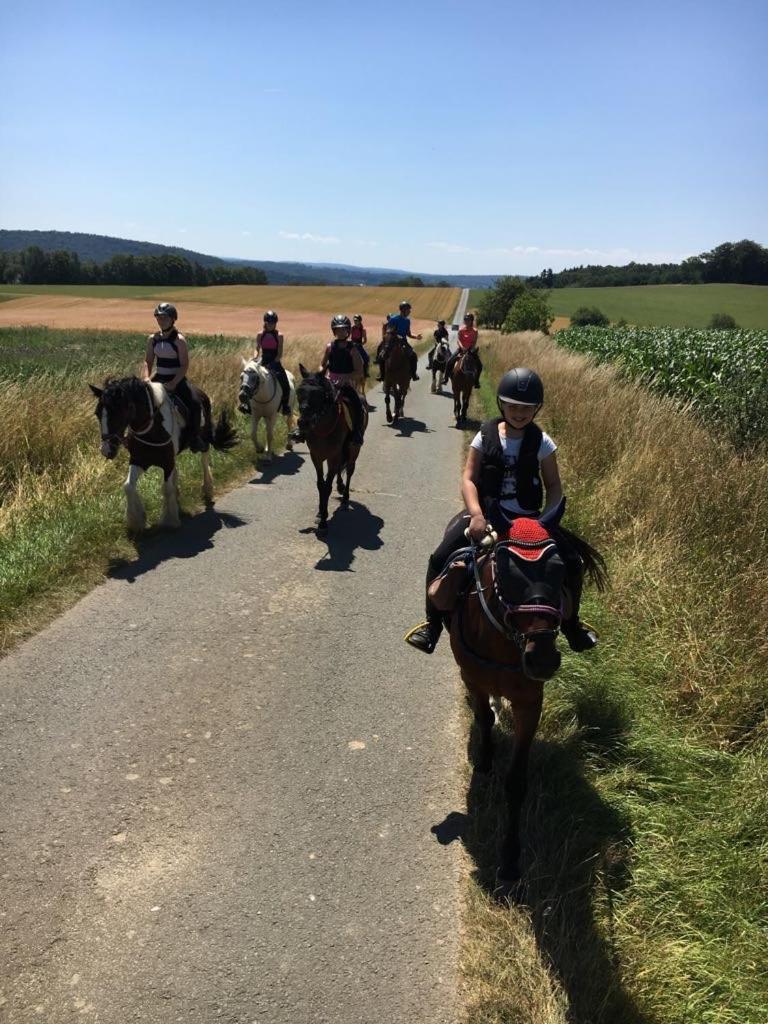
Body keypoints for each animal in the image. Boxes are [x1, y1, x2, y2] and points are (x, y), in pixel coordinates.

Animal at [89, 378, 237, 536]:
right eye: (97, 413)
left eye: (118, 412)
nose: (106, 450)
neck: (152, 428)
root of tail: (201, 392)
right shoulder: (139, 461)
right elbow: (128, 486)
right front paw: (136, 521)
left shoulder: (167, 463)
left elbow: (166, 488)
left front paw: (169, 521)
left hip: (203, 438)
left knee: (204, 458)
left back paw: (208, 490)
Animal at [296, 364, 368, 536]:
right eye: (298, 392)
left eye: (318, 394)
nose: (303, 423)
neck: (323, 426)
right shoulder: (316, 456)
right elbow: (320, 485)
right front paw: (320, 513)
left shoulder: (333, 456)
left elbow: (327, 486)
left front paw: (323, 522)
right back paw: (340, 488)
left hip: (353, 450)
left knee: (349, 470)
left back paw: (345, 498)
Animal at [434, 499, 606, 901]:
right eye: (507, 573)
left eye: (561, 572)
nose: (542, 658)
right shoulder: (473, 678)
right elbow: (482, 719)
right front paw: (484, 761)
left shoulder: (531, 701)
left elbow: (517, 781)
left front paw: (510, 863)